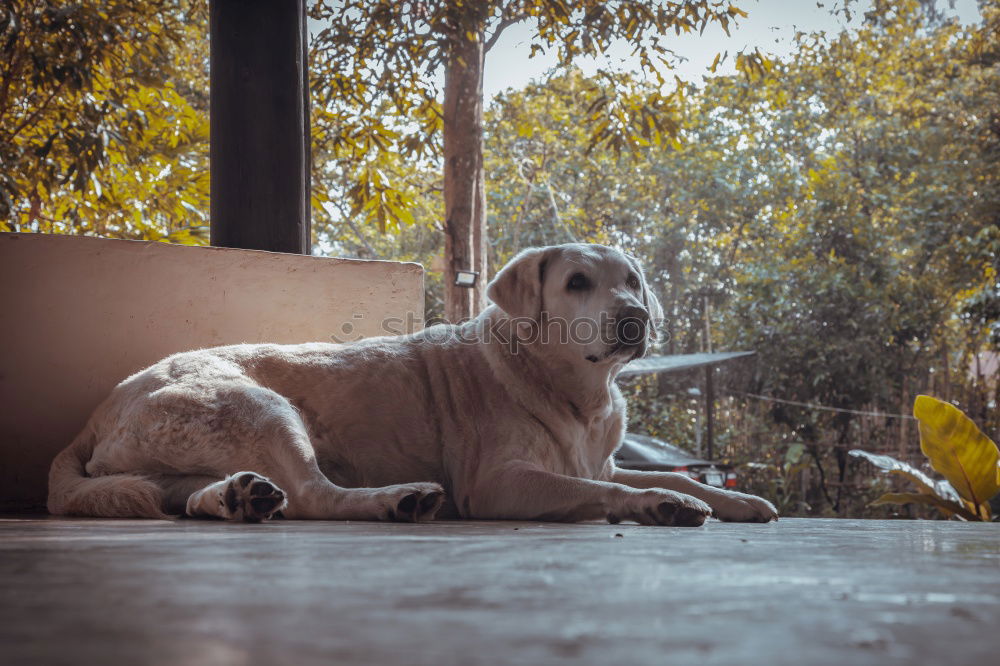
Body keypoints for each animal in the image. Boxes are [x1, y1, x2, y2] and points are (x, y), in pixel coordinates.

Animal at [50, 243, 776, 524]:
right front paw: (657, 502)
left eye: (631, 280)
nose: (635, 318)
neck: (575, 392)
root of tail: (98, 410)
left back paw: (239, 497)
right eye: (577, 283)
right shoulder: (500, 483)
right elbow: (604, 490)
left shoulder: (598, 455)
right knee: (314, 496)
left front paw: (738, 500)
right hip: (261, 409)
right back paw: (396, 499)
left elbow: (681, 478)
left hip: (185, 458)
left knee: (191, 496)